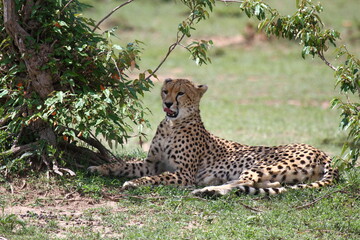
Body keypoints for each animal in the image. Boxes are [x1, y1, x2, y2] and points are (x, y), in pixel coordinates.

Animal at [88, 78, 338, 196]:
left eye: (181, 93)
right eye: (165, 91)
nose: (167, 104)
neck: (172, 124)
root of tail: (322, 152)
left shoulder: (184, 174)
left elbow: (155, 178)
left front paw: (134, 183)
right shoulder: (151, 163)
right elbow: (124, 164)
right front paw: (99, 168)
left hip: (261, 163)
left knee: (245, 181)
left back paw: (208, 189)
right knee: (267, 184)